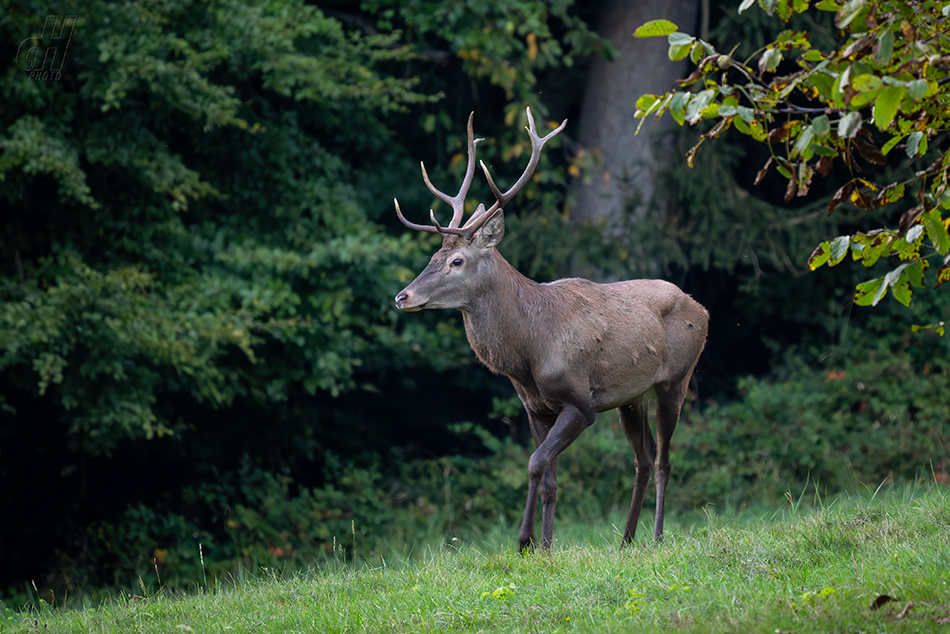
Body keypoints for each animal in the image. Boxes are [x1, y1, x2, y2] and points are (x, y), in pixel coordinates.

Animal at [390, 107, 712, 548]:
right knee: (643, 458)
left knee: (663, 459)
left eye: (457, 260)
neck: (528, 355)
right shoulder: (535, 407)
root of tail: (703, 309)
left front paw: (525, 540)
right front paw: (545, 547)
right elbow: (550, 481)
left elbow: (534, 462)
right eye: (433, 256)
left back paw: (658, 537)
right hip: (631, 397)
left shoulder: (580, 402)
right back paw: (626, 539)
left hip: (676, 379)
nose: (402, 297)